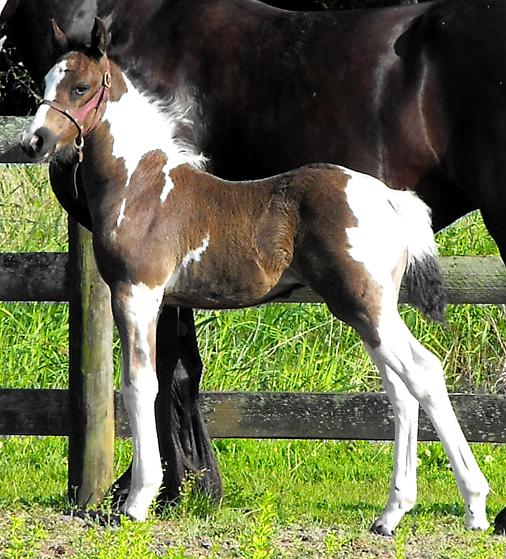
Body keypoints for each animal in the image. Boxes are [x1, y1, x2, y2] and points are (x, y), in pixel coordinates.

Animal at [2, 0, 506, 532]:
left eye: (80, 87)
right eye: (45, 80)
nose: (34, 142)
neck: (141, 185)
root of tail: (389, 198)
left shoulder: (137, 292)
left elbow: (141, 385)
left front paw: (139, 499)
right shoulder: (158, 298)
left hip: (365, 304)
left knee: (423, 372)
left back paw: (475, 506)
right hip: (370, 308)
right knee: (401, 388)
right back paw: (391, 513)